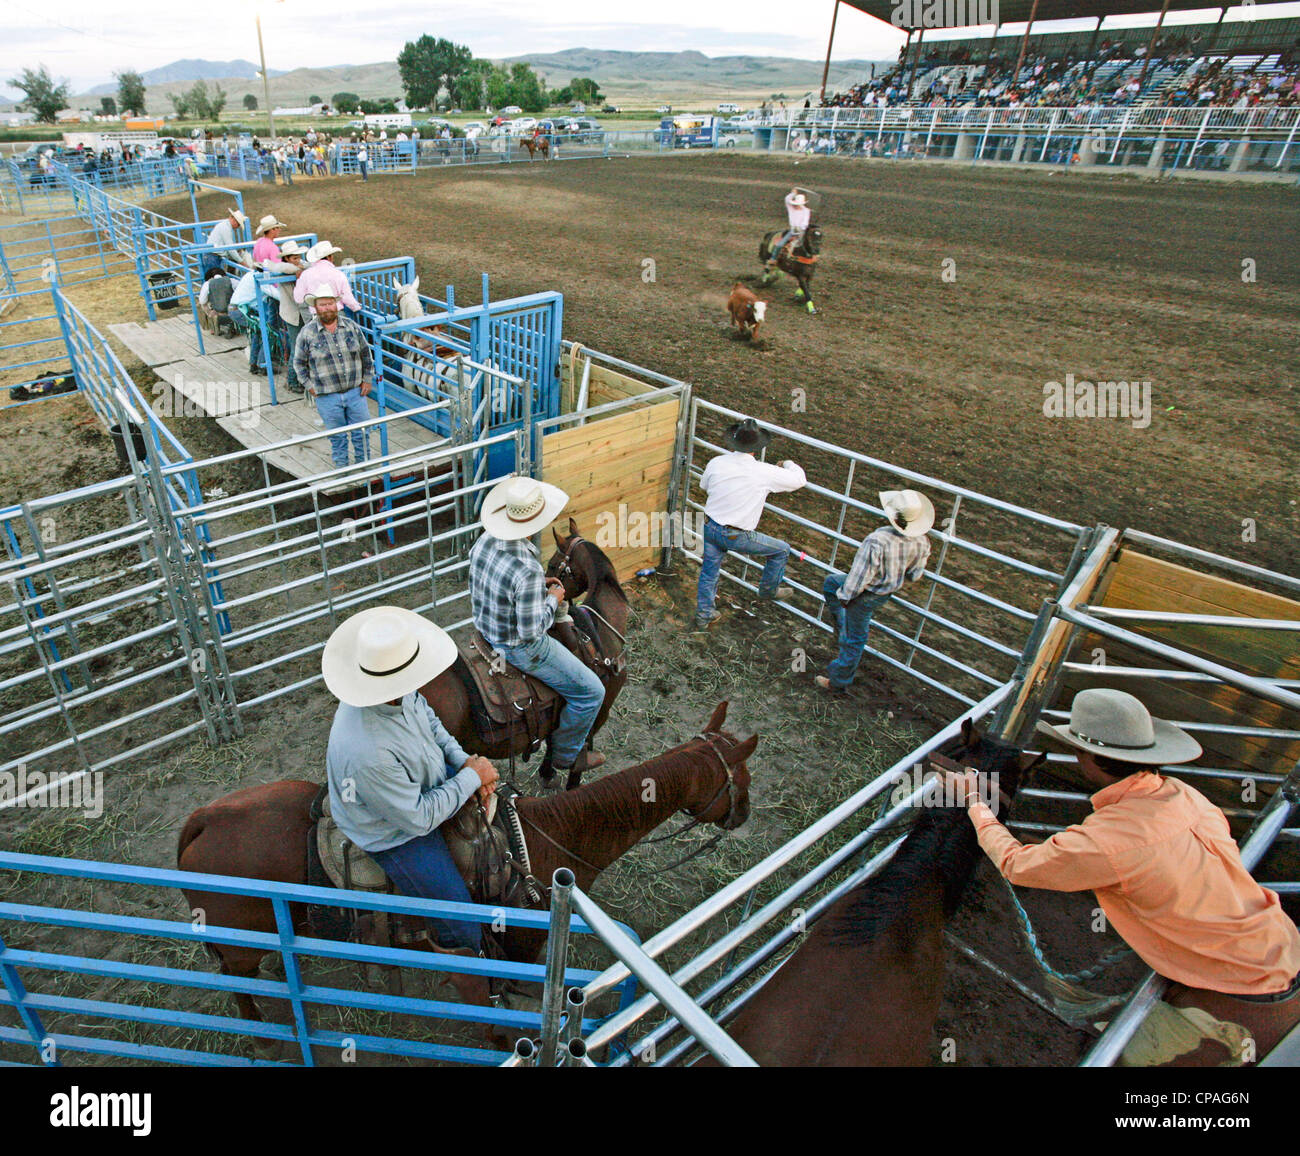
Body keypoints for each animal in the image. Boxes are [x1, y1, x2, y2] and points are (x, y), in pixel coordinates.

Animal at [178, 702, 759, 1035]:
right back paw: (261, 1031)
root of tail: (202, 821)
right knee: (237, 983)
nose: (744, 815)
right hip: (238, 949)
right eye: (744, 776)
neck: (548, 843)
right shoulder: (520, 948)